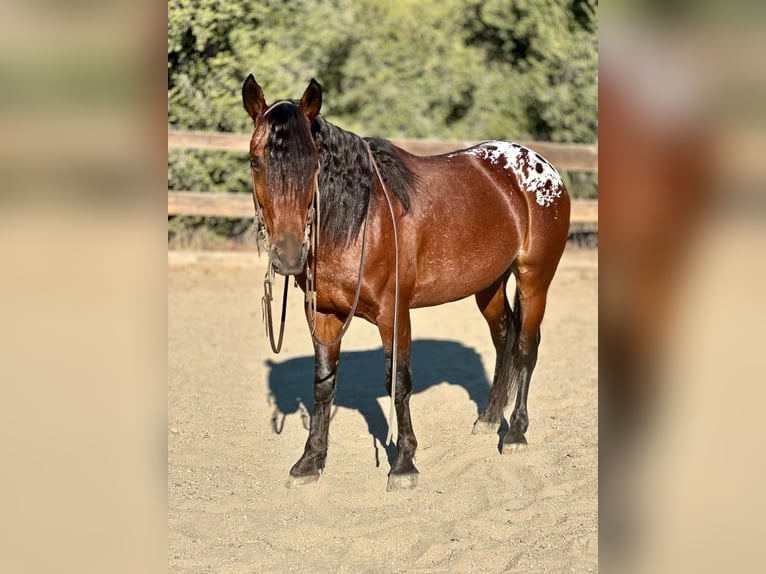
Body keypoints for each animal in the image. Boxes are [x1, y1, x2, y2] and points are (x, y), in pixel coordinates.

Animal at [243, 74, 572, 492]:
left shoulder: (394, 313)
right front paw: (309, 462)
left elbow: (398, 382)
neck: (361, 221)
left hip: (534, 279)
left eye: (313, 163)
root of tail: (541, 167)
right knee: (504, 340)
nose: (287, 254)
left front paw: (404, 464)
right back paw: (488, 420)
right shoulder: (323, 314)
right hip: (488, 286)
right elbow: (323, 384)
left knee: (526, 348)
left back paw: (515, 433)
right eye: (255, 161)